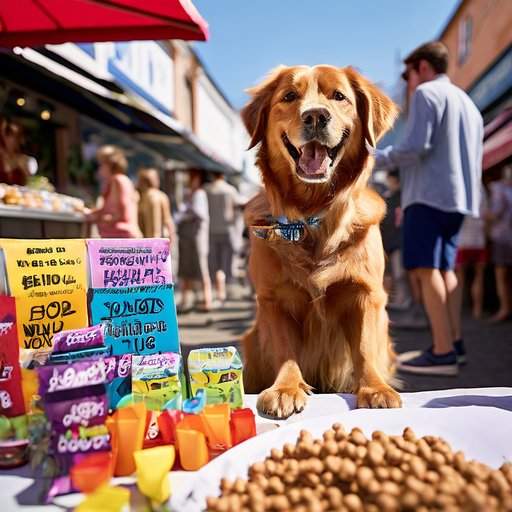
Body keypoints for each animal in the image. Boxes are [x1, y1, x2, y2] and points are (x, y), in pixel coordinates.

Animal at [242, 64, 402, 418]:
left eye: (339, 96)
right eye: (289, 96)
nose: (315, 116)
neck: (311, 213)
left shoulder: (365, 293)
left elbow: (365, 348)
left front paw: (375, 388)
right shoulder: (273, 299)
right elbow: (286, 351)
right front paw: (286, 388)